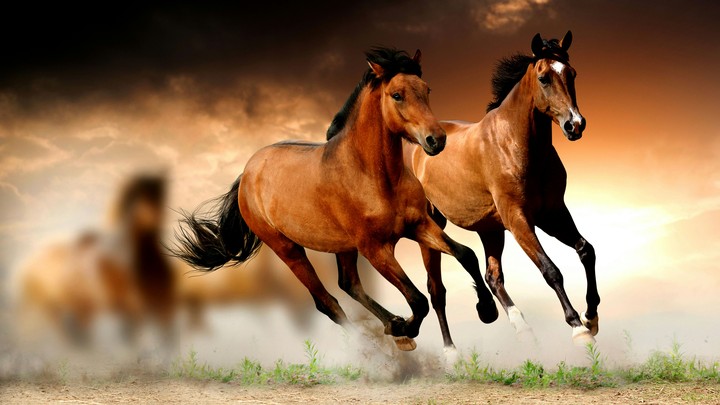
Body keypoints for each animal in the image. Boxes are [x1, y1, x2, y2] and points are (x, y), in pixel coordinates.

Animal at [171, 48, 498, 351]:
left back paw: (391, 325)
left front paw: (487, 310)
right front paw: (406, 329)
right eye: (397, 95)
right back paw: (378, 343)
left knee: (348, 284)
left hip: (343, 247)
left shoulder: (418, 225)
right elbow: (418, 300)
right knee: (327, 302)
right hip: (288, 249)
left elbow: (466, 254)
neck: (374, 176)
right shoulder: (375, 249)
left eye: (426, 89)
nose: (436, 140)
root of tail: (247, 173)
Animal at [403, 31, 599, 349]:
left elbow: (586, 251)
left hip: (490, 229)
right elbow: (550, 270)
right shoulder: (518, 219)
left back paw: (518, 325)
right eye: (543, 78)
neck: (514, 144)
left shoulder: (552, 213)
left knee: (492, 276)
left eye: (572, 73)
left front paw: (591, 317)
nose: (575, 125)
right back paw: (451, 351)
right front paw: (577, 327)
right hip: (432, 225)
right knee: (436, 290)